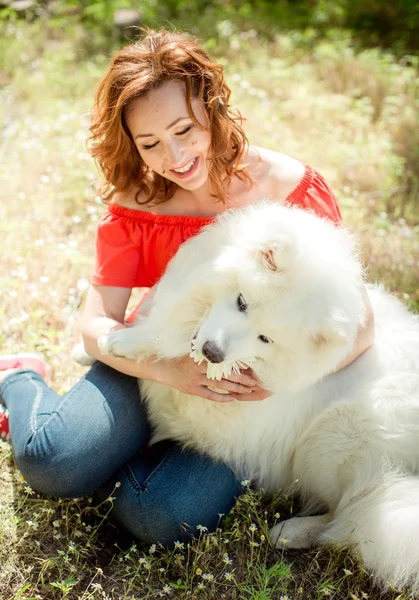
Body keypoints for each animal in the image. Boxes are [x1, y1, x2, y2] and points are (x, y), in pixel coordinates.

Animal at [97, 204, 419, 592]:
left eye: (266, 338)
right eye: (241, 302)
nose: (213, 352)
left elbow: (169, 347)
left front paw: (126, 343)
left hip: (334, 437)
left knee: (347, 515)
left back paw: (292, 531)